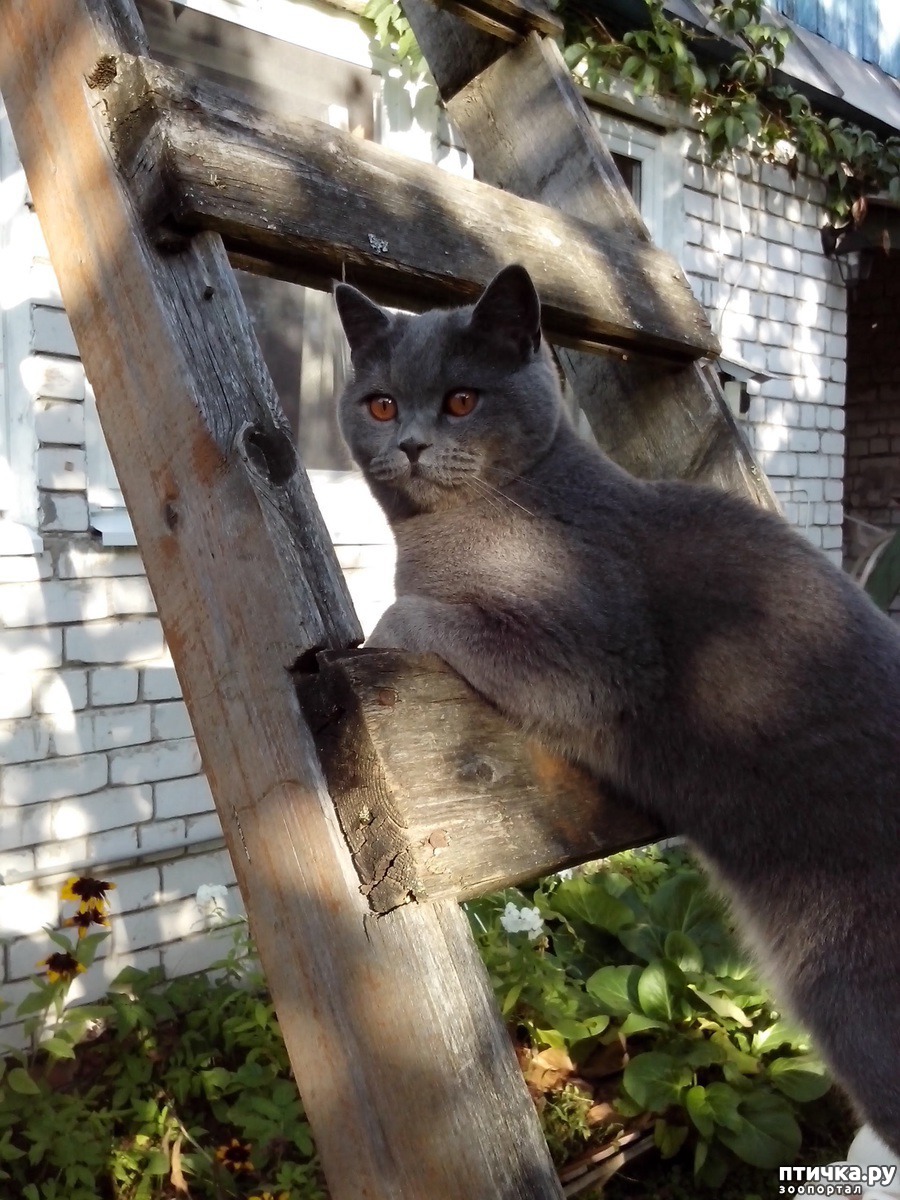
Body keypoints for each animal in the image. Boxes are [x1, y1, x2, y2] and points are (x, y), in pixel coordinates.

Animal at [336, 267, 900, 1156]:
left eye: (462, 400)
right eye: (383, 405)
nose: (413, 444)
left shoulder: (597, 661)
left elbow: (429, 614)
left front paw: (380, 626)